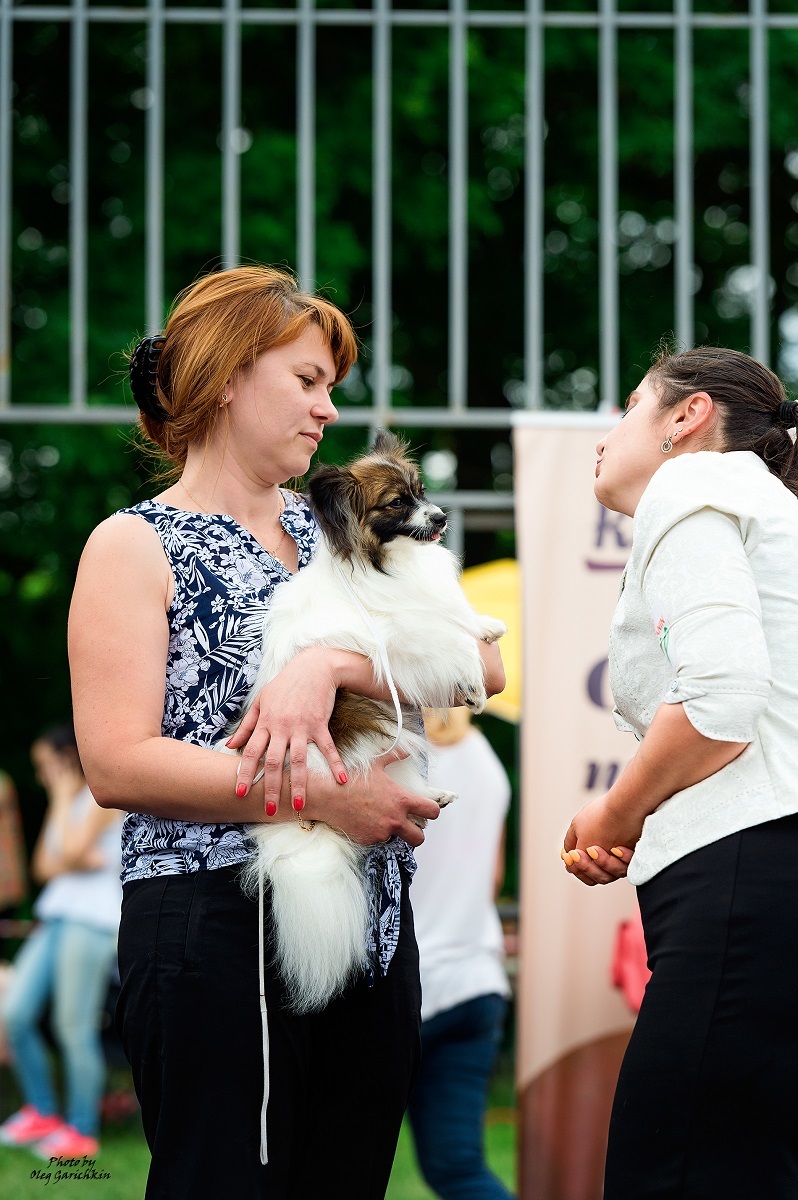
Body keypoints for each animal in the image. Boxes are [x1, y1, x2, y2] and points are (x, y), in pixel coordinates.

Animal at [236, 432, 506, 1012]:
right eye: (398, 504)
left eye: (422, 491)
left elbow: (458, 620)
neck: (387, 563)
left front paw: (486, 626)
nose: (442, 515)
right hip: (378, 729)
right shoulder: (397, 634)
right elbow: (446, 640)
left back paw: (435, 796)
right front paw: (473, 680)